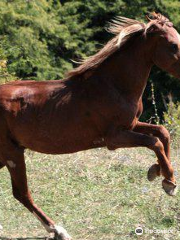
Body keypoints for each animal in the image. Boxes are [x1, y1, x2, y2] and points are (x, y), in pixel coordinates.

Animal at [0, 12, 180, 240]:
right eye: (173, 45)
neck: (113, 85)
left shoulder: (131, 125)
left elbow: (162, 133)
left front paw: (158, 172)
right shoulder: (114, 138)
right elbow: (154, 141)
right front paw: (168, 182)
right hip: (11, 152)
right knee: (22, 193)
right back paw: (58, 230)